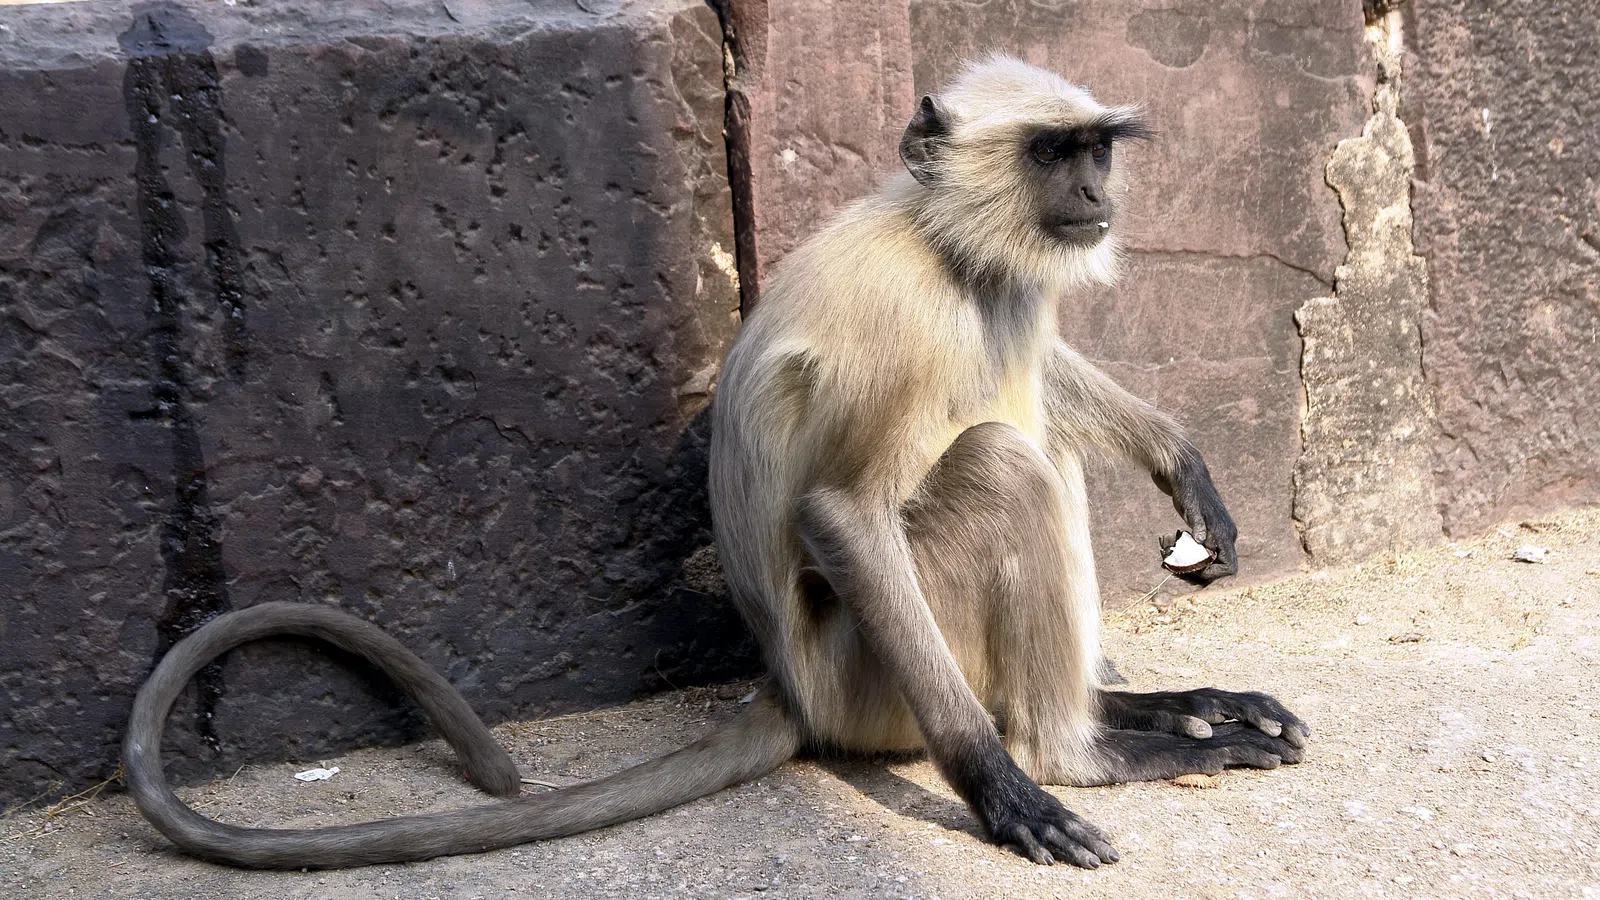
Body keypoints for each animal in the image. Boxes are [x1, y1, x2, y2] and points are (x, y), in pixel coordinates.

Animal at [122, 55, 1308, 871]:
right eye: (1051, 152)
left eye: (1096, 148)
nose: (1096, 191)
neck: (943, 242)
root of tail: (794, 689)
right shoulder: (907, 318)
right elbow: (841, 513)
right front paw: (1001, 791)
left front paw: (1182, 465)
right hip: (872, 677)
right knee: (1004, 464)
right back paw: (1077, 750)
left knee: (1037, 443)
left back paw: (1147, 705)